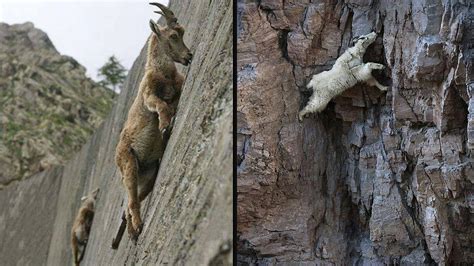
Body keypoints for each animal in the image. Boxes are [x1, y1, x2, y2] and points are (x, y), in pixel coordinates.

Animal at [114, 2, 192, 242]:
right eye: (174, 35)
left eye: (182, 32)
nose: (189, 56)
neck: (162, 73)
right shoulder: (148, 96)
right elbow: (161, 106)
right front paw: (165, 126)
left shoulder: (177, 87)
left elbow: (172, 102)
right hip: (129, 164)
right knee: (131, 201)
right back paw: (137, 228)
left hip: (148, 174)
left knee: (131, 203)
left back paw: (131, 231)